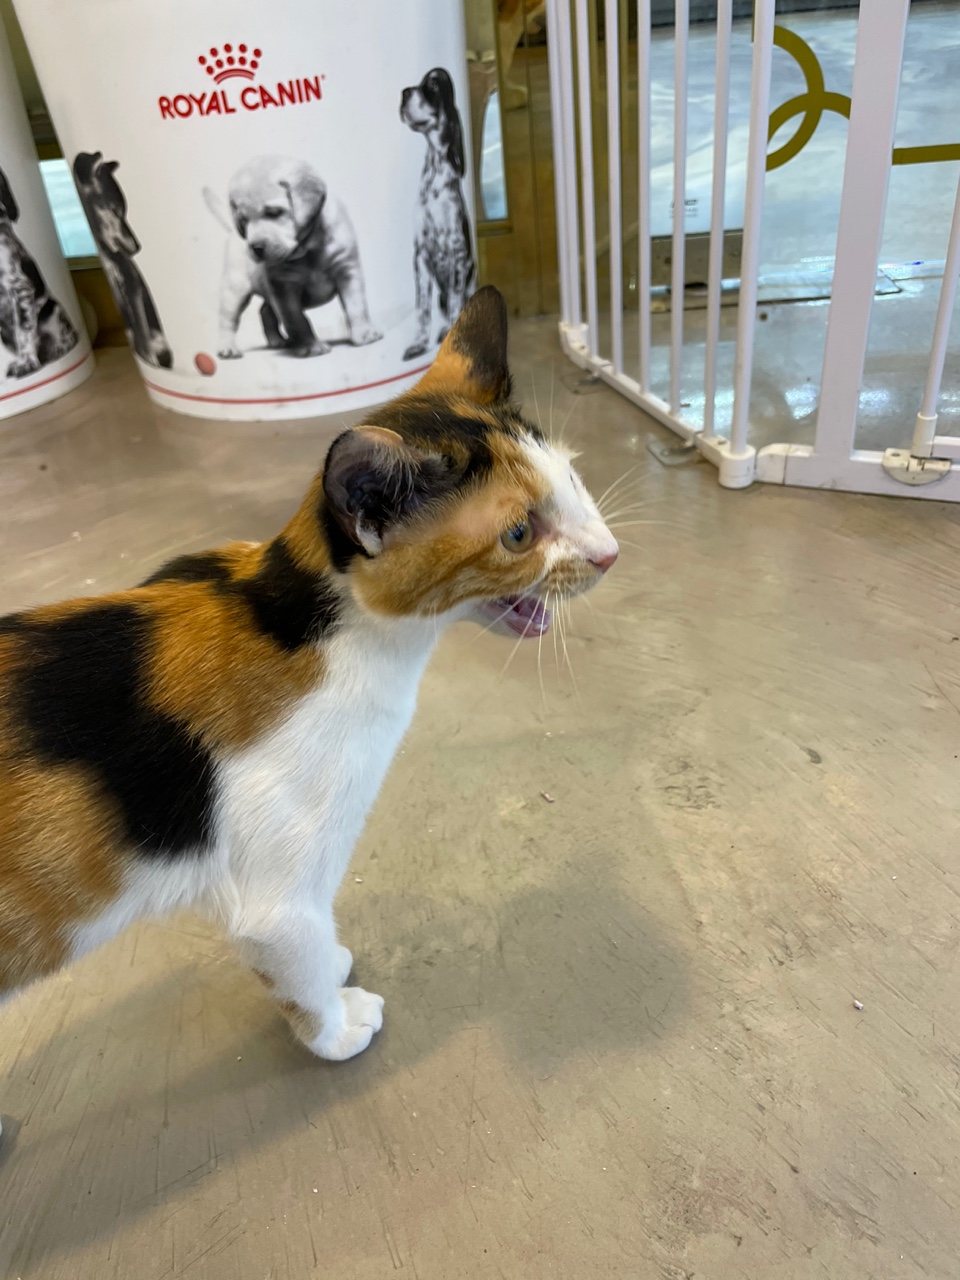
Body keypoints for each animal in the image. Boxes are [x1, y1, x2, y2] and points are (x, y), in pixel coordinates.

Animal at [0, 287, 617, 1102]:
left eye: (574, 482)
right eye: (519, 533)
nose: (610, 554)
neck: (309, 622)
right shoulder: (278, 897)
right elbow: (296, 956)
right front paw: (334, 1024)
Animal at [204, 156, 382, 360]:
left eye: (274, 212)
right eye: (243, 221)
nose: (255, 247)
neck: (309, 250)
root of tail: (232, 233)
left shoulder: (347, 271)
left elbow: (357, 306)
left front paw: (365, 333)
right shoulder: (284, 288)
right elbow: (297, 320)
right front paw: (310, 346)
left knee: (265, 311)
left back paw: (277, 340)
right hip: (235, 290)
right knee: (228, 320)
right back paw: (228, 348)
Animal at [400, 68, 476, 362]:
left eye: (432, 85)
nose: (404, 93)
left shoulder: (456, 249)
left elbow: (455, 301)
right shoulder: (420, 252)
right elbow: (422, 309)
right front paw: (418, 344)